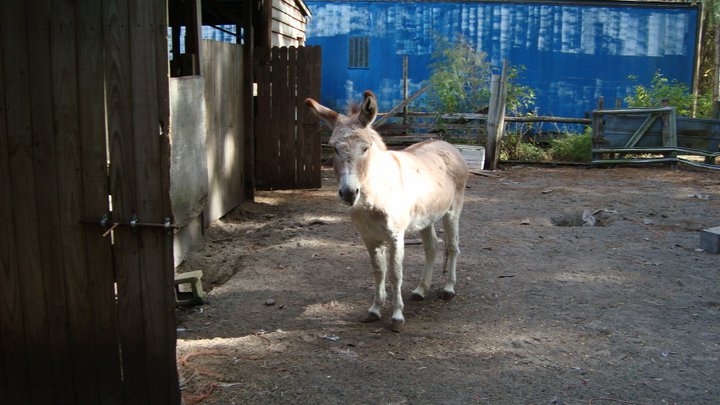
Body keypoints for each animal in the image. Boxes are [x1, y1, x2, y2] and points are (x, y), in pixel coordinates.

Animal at [305, 91, 470, 332]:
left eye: (365, 148)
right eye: (334, 147)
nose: (348, 193)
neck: (375, 195)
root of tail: (445, 143)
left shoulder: (395, 237)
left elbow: (395, 274)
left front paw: (397, 316)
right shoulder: (369, 238)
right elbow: (378, 271)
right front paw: (375, 309)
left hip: (452, 211)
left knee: (453, 246)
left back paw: (449, 288)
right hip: (427, 217)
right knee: (432, 248)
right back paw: (421, 290)